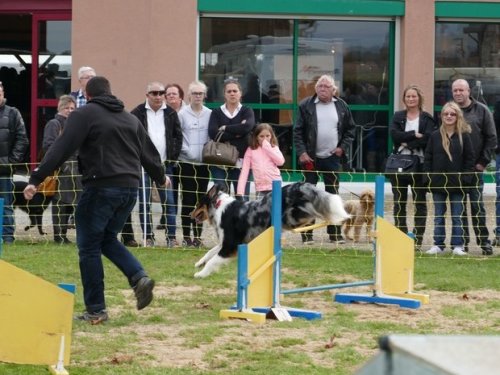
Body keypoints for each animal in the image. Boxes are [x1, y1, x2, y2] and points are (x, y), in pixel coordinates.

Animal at [189, 184, 350, 278]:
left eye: (197, 204)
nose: (190, 214)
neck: (218, 207)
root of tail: (298, 186)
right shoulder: (228, 242)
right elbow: (209, 253)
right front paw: (199, 263)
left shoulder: (230, 245)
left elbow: (213, 260)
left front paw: (200, 273)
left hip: (293, 216)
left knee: (312, 212)